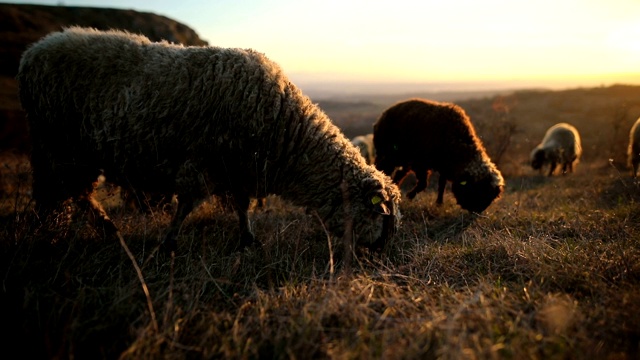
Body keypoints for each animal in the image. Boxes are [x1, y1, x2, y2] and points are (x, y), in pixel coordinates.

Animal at [17, 26, 400, 253]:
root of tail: (34, 51)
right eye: (382, 217)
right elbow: (186, 205)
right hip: (61, 144)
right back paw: (108, 230)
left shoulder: (239, 169)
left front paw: (248, 239)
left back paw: (105, 231)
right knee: (74, 192)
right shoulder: (203, 161)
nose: (377, 256)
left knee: (77, 194)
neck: (286, 131)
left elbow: (243, 207)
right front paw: (169, 243)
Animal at [372, 97, 502, 214]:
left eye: (489, 197)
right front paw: (410, 195)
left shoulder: (443, 167)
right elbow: (423, 184)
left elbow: (441, 185)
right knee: (382, 169)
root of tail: (383, 115)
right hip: (387, 154)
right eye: (477, 191)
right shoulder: (420, 163)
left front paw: (439, 203)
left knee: (398, 174)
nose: (476, 212)